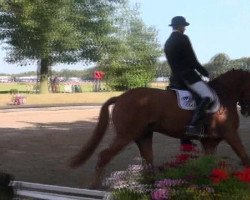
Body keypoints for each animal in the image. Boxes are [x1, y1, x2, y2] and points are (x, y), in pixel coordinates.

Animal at [69, 69, 250, 188]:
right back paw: (94, 186)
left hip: (143, 136)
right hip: (125, 135)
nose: (246, 111)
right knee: (104, 156)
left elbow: (209, 164)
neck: (224, 96)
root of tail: (120, 97)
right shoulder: (230, 134)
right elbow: (244, 157)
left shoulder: (210, 142)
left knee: (148, 161)